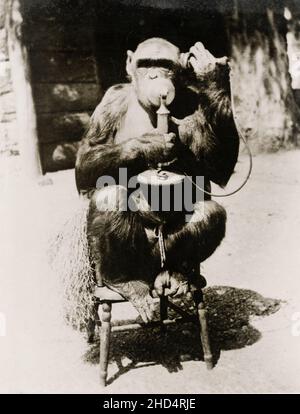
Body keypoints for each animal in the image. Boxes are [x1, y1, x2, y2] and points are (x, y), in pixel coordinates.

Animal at [75, 38, 239, 324]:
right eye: (145, 64)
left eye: (164, 65)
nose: (154, 77)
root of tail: (154, 278)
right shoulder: (109, 102)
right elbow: (86, 159)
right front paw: (151, 145)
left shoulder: (195, 102)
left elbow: (217, 167)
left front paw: (212, 72)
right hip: (135, 265)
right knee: (110, 197)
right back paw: (123, 281)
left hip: (159, 261)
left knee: (209, 214)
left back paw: (179, 276)